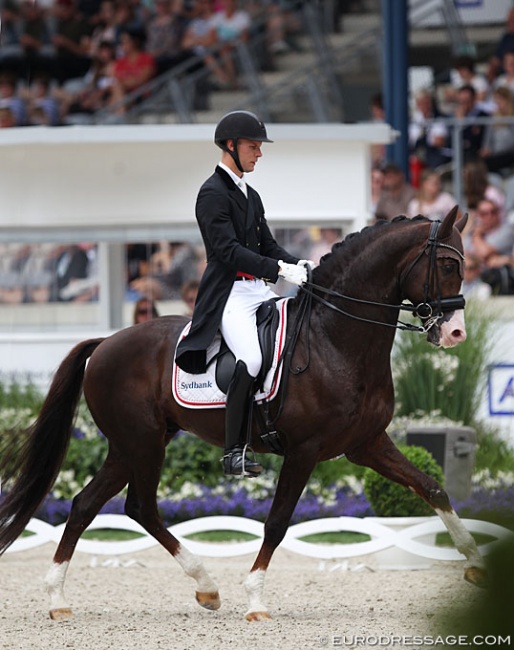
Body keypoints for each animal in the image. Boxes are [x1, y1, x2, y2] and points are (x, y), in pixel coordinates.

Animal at [0, 206, 484, 616]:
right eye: (447, 266)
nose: (456, 333)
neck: (335, 339)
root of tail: (104, 343)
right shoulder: (304, 450)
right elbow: (278, 522)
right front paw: (255, 600)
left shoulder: (366, 445)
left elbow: (432, 487)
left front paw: (475, 561)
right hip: (140, 443)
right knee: (132, 506)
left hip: (134, 445)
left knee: (99, 505)